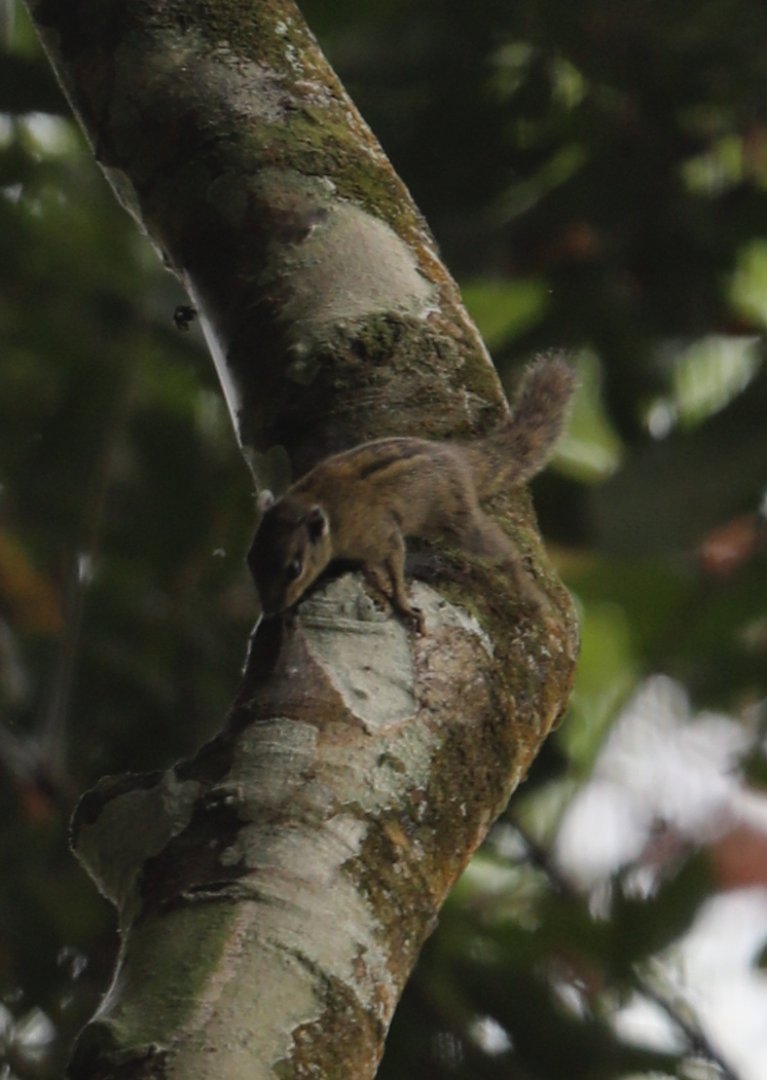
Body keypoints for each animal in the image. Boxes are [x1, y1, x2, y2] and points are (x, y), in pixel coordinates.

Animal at [247, 354, 575, 633]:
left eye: (294, 569)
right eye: (250, 562)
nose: (271, 611)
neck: (323, 506)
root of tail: (458, 456)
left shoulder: (380, 532)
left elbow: (395, 563)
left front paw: (403, 605)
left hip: (455, 516)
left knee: (503, 550)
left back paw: (528, 590)